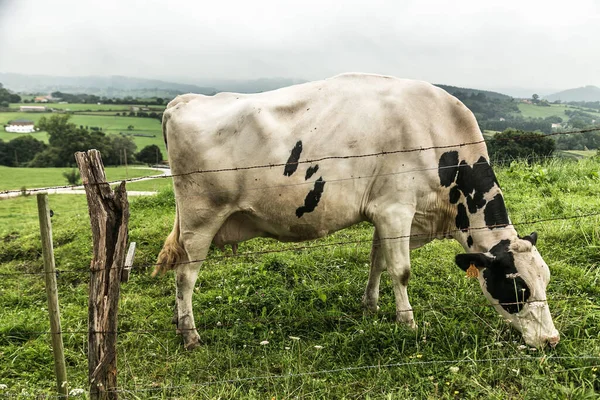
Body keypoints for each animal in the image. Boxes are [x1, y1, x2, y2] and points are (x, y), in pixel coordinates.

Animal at [155, 72, 556, 350]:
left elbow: (377, 261)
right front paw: (408, 324)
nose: (551, 339)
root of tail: (184, 101)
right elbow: (401, 271)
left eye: (546, 280)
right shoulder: (396, 209)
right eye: (517, 287)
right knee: (185, 276)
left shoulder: (386, 214)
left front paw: (371, 306)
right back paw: (190, 335)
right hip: (201, 220)